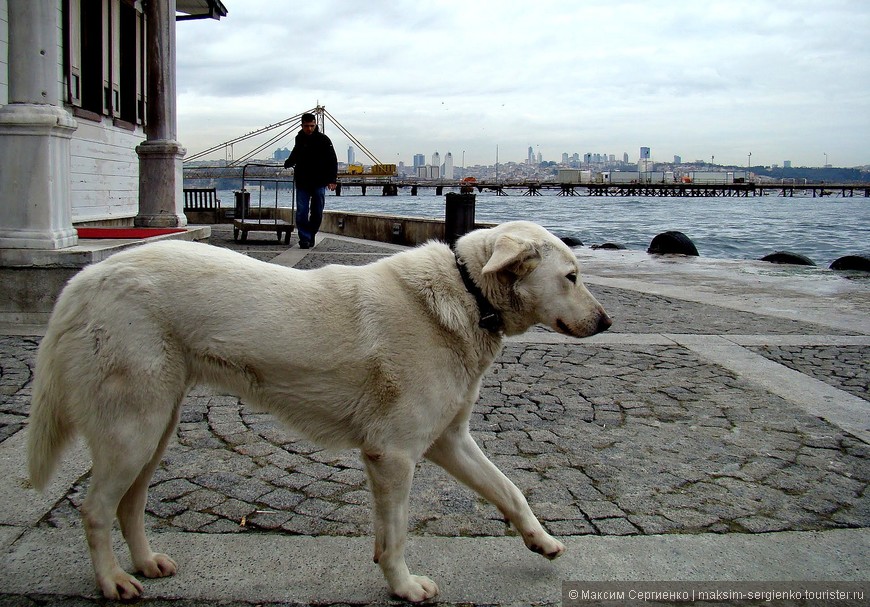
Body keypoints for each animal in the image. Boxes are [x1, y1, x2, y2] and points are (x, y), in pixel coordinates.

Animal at [29, 222, 612, 604]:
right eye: (572, 276)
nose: (608, 322)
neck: (467, 295)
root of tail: (85, 280)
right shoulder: (394, 454)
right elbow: (397, 534)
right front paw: (404, 587)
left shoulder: (449, 441)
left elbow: (510, 491)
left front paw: (542, 541)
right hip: (133, 429)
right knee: (96, 509)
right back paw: (112, 581)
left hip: (156, 429)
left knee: (129, 504)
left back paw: (147, 564)